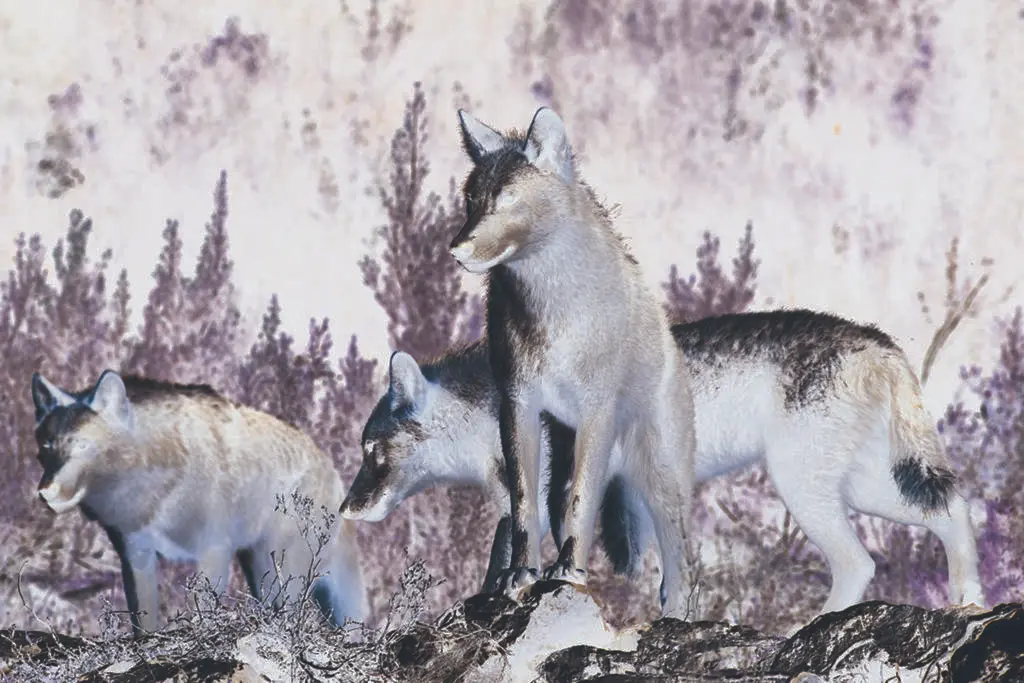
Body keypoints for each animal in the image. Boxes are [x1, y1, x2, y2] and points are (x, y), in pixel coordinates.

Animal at [30, 369, 367, 637]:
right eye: (47, 446)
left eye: (82, 446)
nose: (45, 491)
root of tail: (334, 474)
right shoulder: (136, 555)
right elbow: (143, 623)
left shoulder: (213, 549)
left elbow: (204, 610)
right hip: (261, 572)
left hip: (285, 576)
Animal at [340, 310, 986, 617]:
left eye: (370, 452)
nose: (346, 509)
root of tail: (882, 344)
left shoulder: (557, 497)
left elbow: (523, 559)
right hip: (864, 489)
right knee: (953, 511)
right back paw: (969, 598)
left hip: (808, 493)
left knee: (861, 561)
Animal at [442, 106, 699, 617]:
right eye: (472, 201)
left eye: (507, 200)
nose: (456, 249)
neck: (547, 316)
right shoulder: (517, 406)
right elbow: (523, 506)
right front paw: (521, 574)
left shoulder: (597, 409)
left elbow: (584, 501)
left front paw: (569, 571)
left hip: (659, 478)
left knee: (678, 564)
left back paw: (676, 616)